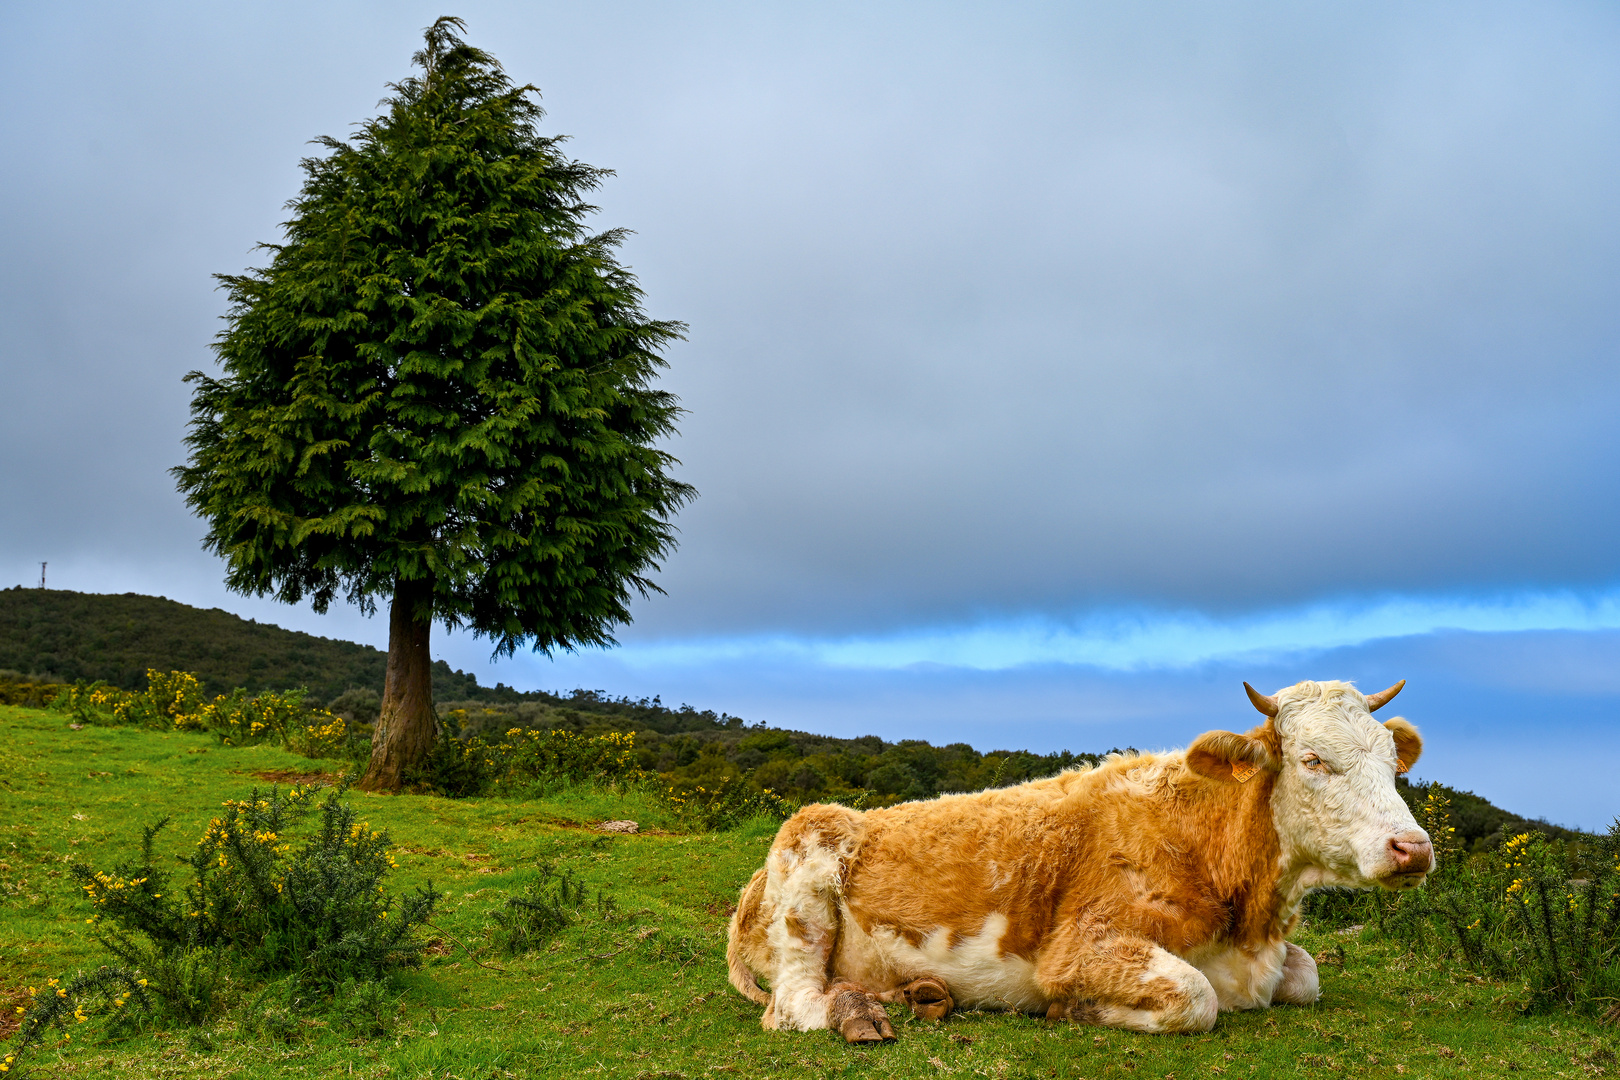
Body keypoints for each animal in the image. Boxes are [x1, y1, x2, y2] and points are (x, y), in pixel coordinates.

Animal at [732, 680, 1432, 1042]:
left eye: (1391, 761)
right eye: (1312, 760)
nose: (1414, 847)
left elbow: (1306, 975)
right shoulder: (1079, 947)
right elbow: (1195, 996)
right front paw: (1075, 1010)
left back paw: (916, 994)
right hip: (807, 870)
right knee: (792, 1004)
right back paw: (855, 1012)